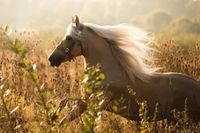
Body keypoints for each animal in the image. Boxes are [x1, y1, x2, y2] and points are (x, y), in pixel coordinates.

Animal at [48, 15, 200, 122]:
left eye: (69, 37)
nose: (51, 58)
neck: (105, 73)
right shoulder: (85, 102)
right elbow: (64, 112)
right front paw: (52, 118)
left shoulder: (98, 102)